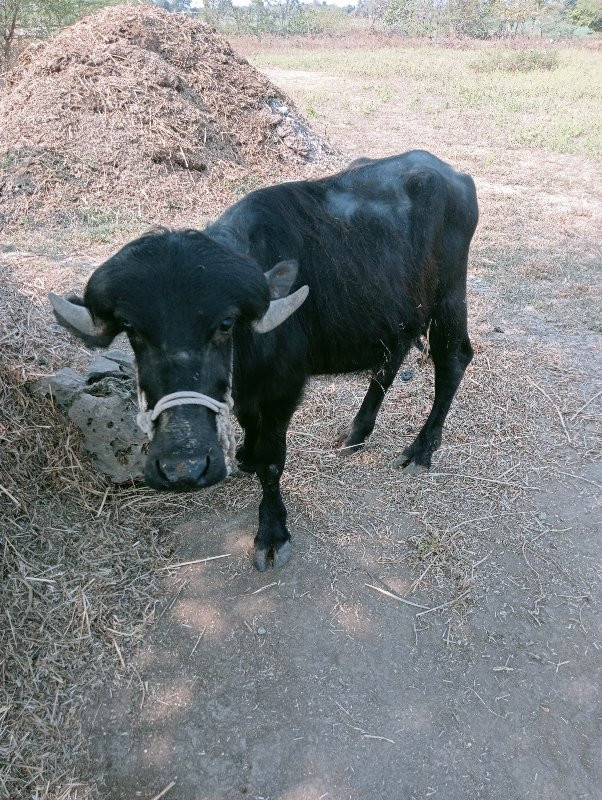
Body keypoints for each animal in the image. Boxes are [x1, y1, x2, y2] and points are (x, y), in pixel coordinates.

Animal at [49, 150, 476, 572]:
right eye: (132, 328)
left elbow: (273, 461)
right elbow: (246, 423)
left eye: (225, 324)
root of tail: (456, 176)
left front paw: (272, 533)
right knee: (392, 358)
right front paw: (247, 455)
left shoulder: (282, 391)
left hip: (449, 298)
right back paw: (355, 432)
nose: (183, 469)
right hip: (396, 315)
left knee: (454, 360)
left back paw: (421, 449)